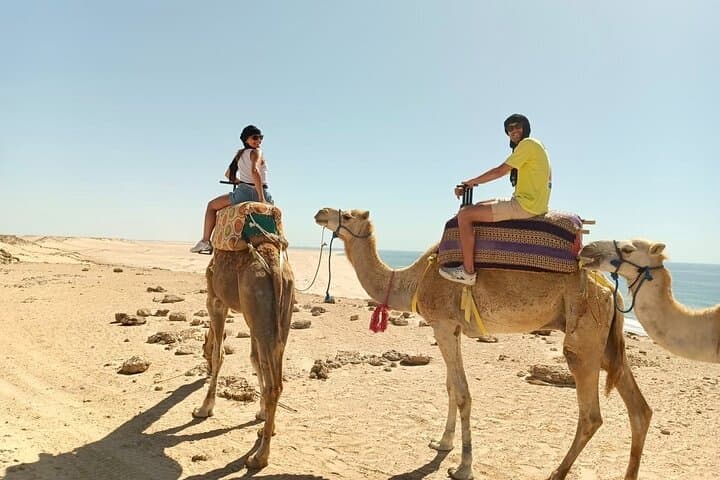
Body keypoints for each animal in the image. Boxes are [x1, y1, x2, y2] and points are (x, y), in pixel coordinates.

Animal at [191, 239, 295, 469]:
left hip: (257, 305)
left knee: (275, 385)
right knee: (275, 373)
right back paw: (265, 433)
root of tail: (274, 266)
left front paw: (204, 408)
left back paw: (259, 457)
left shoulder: (215, 301)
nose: (204, 371)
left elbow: (219, 354)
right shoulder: (251, 319)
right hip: (279, 315)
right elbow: (256, 360)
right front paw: (262, 414)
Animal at [314, 208, 653, 480]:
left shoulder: (443, 324)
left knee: (591, 415)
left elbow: (463, 394)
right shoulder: (450, 328)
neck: (415, 279)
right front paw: (442, 443)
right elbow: (451, 388)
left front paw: (463, 467)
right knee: (640, 410)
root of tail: (609, 288)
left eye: (348, 216)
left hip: (584, 338)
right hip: (606, 343)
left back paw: (556, 473)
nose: (321, 212)